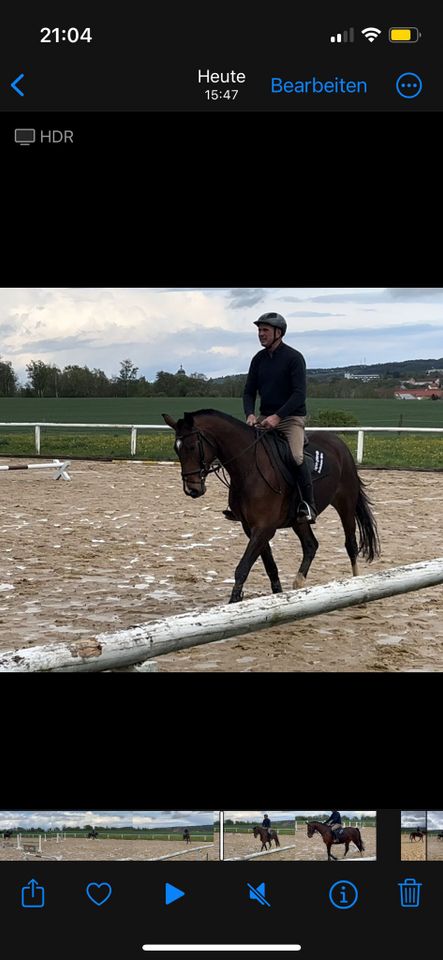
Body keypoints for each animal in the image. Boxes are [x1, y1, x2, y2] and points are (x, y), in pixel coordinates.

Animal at [163, 408, 382, 604]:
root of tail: (338, 443)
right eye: (176, 448)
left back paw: (357, 586)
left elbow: (242, 568)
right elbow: (270, 567)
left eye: (192, 446)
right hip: (298, 520)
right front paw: (277, 595)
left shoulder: (264, 527)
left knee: (350, 544)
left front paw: (234, 602)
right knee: (311, 545)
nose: (192, 489)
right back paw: (298, 583)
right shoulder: (251, 528)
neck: (249, 468)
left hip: (345, 504)